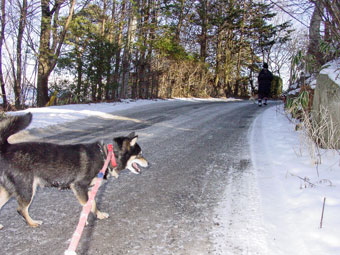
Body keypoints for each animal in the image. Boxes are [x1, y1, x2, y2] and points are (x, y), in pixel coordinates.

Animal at [0, 112, 149, 228]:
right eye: (140, 154)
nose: (148, 163)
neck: (106, 156)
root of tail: (6, 148)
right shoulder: (79, 186)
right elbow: (87, 205)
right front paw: (85, 221)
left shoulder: (88, 189)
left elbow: (93, 204)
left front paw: (99, 215)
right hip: (27, 189)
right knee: (21, 209)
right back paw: (32, 223)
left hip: (8, 190)